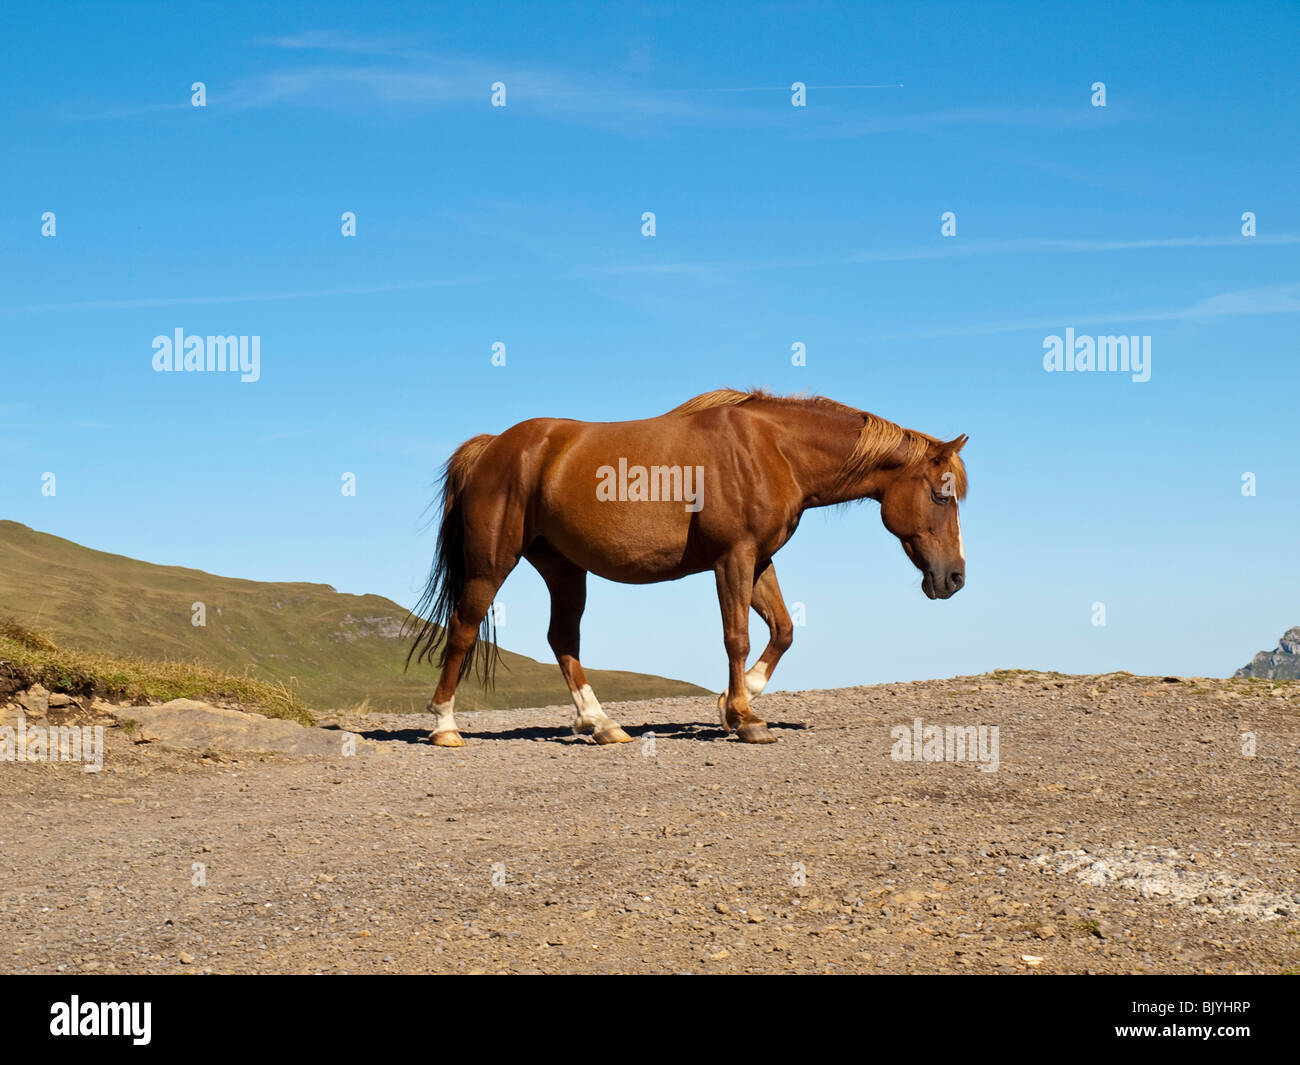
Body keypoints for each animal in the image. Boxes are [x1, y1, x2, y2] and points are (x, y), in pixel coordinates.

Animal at [405, 387, 967, 743]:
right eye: (942, 495)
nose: (954, 578)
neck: (772, 451)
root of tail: (493, 448)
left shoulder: (759, 559)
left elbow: (783, 630)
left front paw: (734, 703)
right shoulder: (732, 557)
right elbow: (736, 637)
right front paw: (744, 717)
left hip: (564, 569)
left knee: (562, 640)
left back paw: (602, 725)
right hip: (491, 566)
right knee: (464, 627)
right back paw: (445, 727)